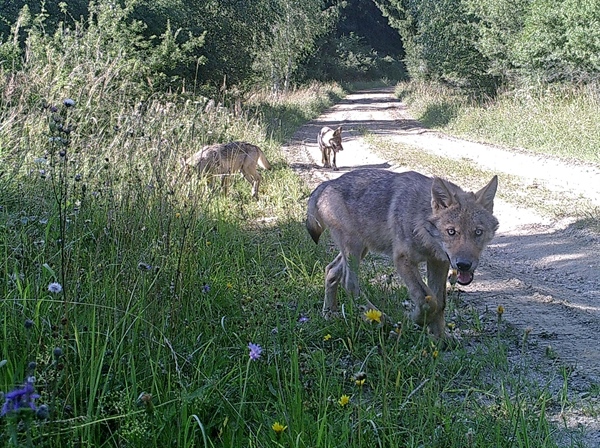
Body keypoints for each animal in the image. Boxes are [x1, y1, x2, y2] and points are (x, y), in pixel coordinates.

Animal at [308, 170, 500, 338]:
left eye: (478, 232)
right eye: (452, 232)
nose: (464, 265)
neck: (421, 226)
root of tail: (327, 183)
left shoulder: (439, 262)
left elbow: (440, 303)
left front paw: (440, 339)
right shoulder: (403, 259)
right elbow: (428, 301)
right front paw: (416, 319)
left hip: (361, 249)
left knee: (331, 270)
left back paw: (329, 314)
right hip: (354, 249)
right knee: (349, 284)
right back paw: (382, 319)